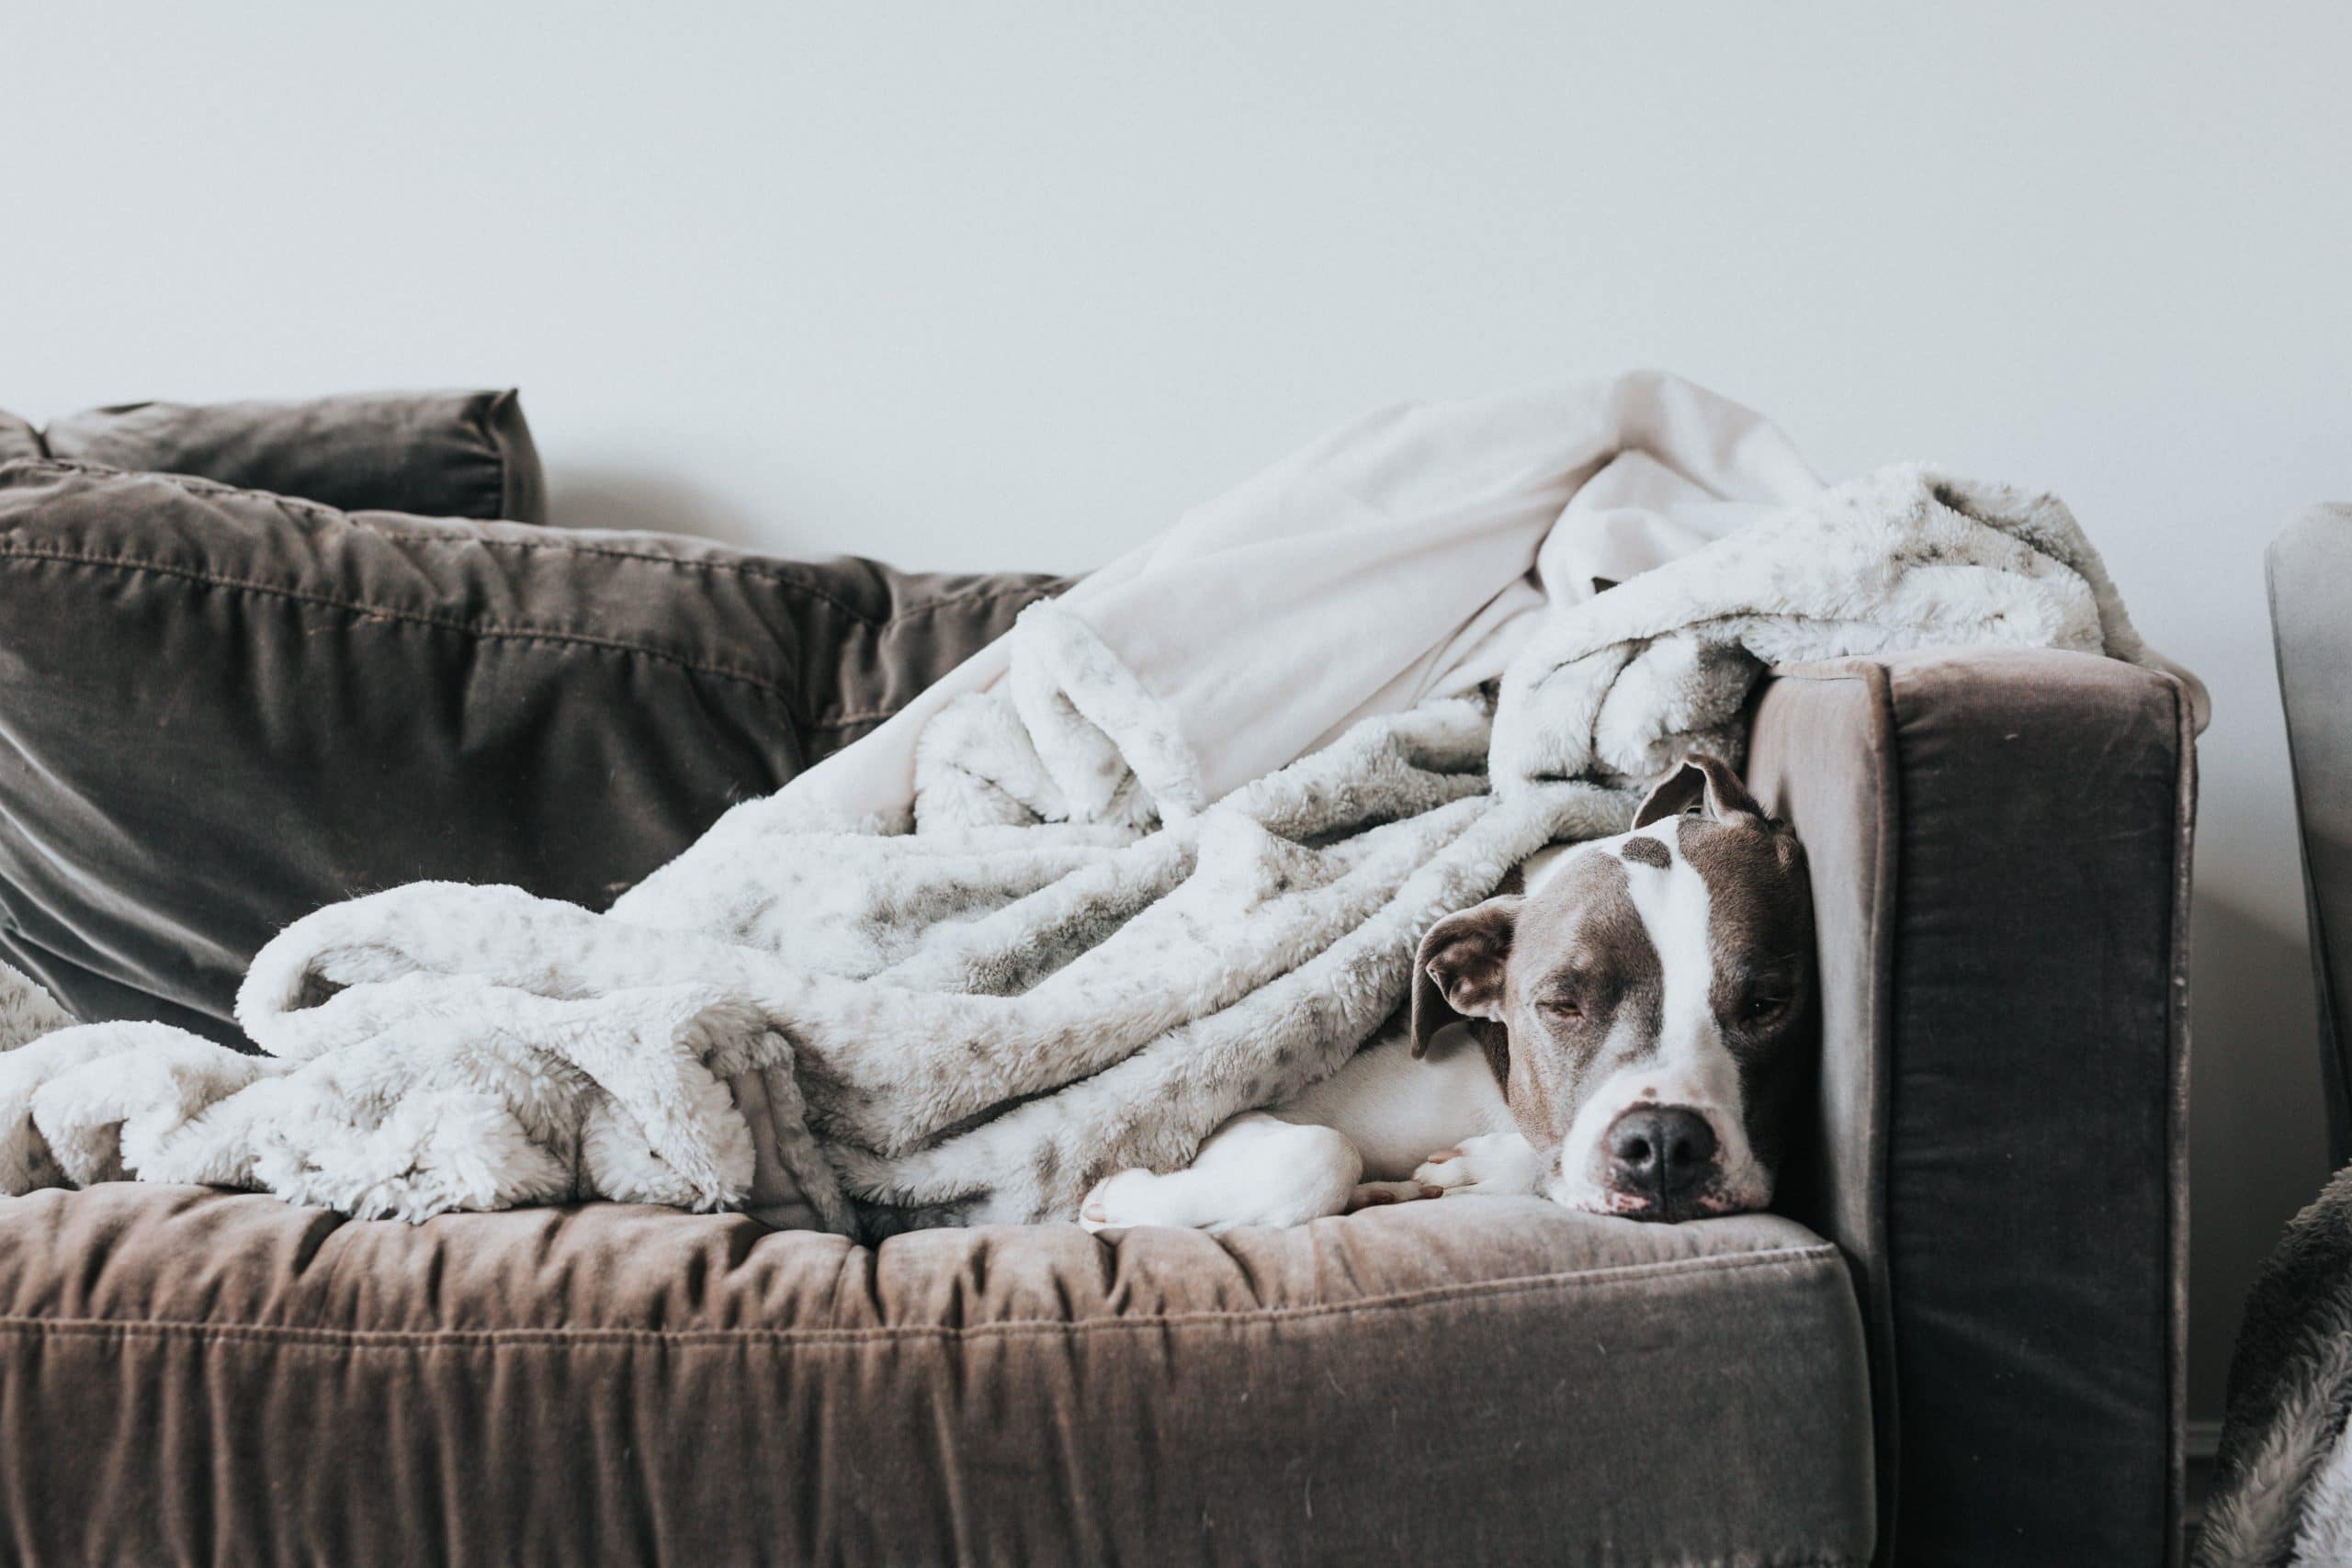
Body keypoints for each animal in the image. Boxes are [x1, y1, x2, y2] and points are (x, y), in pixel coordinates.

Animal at [1081, 751, 1815, 1232]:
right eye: (1561, 1006)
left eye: (1767, 1004)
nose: (1664, 1144)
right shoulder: (1236, 1117)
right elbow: (1323, 1153)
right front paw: (1122, 1199)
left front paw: (1475, 1170)